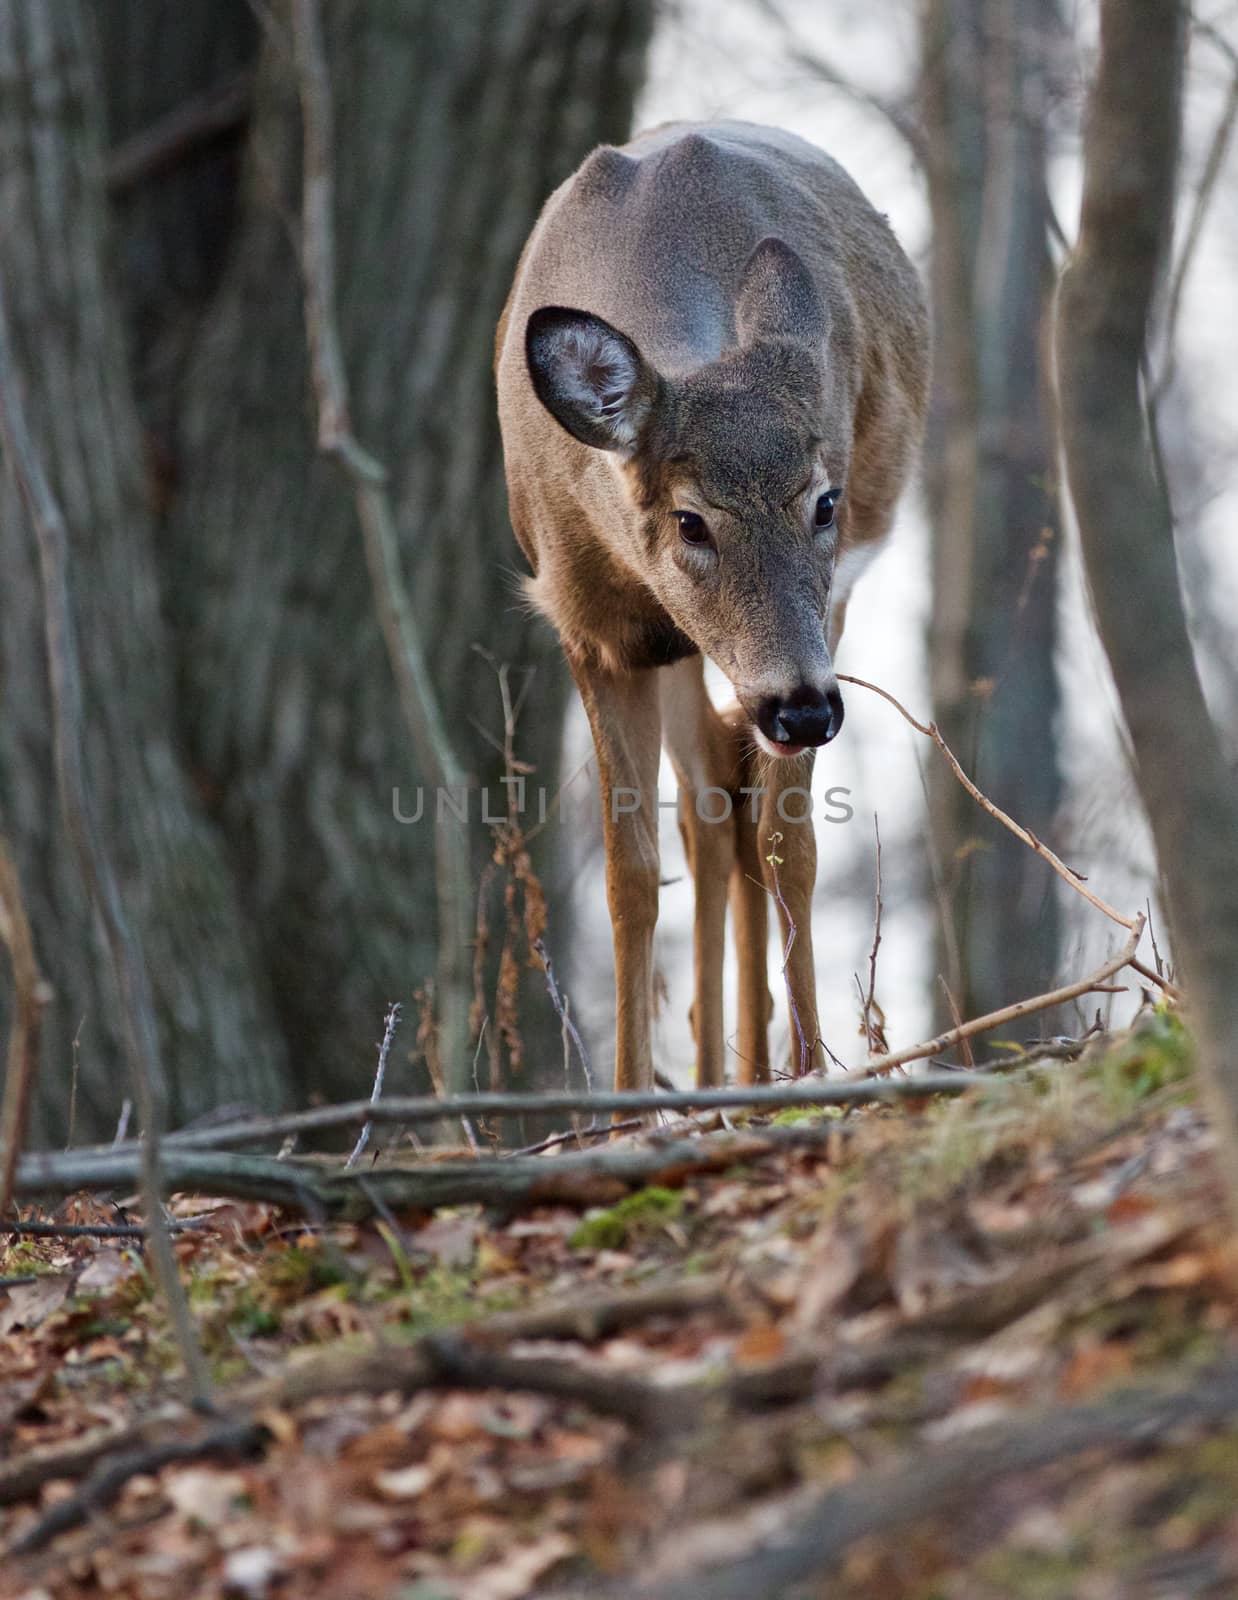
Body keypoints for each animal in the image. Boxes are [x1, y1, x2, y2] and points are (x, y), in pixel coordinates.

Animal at [495, 121, 934, 1100]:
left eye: (825, 502)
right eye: (691, 519)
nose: (803, 710)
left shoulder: (823, 608)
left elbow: (788, 844)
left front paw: (809, 1071)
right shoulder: (590, 625)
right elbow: (630, 873)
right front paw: (626, 1107)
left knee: (737, 815)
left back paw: (754, 1070)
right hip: (692, 655)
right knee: (706, 818)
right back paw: (709, 1073)